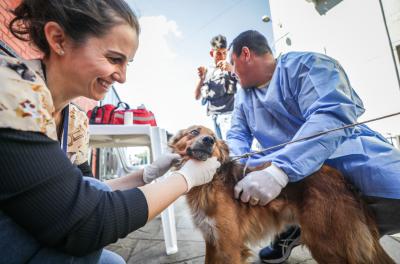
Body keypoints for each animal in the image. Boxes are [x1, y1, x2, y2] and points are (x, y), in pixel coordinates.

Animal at [169, 125, 394, 262]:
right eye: (194, 132)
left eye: (215, 139)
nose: (208, 140)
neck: (209, 182)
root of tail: (342, 179)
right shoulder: (213, 241)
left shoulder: (229, 245)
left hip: (327, 243)